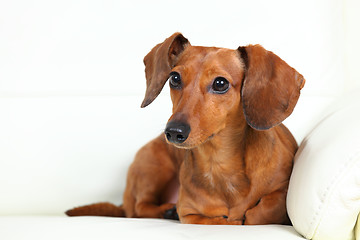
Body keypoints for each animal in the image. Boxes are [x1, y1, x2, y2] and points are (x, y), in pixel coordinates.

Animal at [66, 32, 306, 225]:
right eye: (174, 78)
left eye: (220, 83)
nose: (173, 132)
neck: (218, 164)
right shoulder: (190, 215)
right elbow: (220, 220)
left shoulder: (282, 190)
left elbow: (261, 211)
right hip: (154, 167)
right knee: (139, 208)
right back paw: (166, 210)